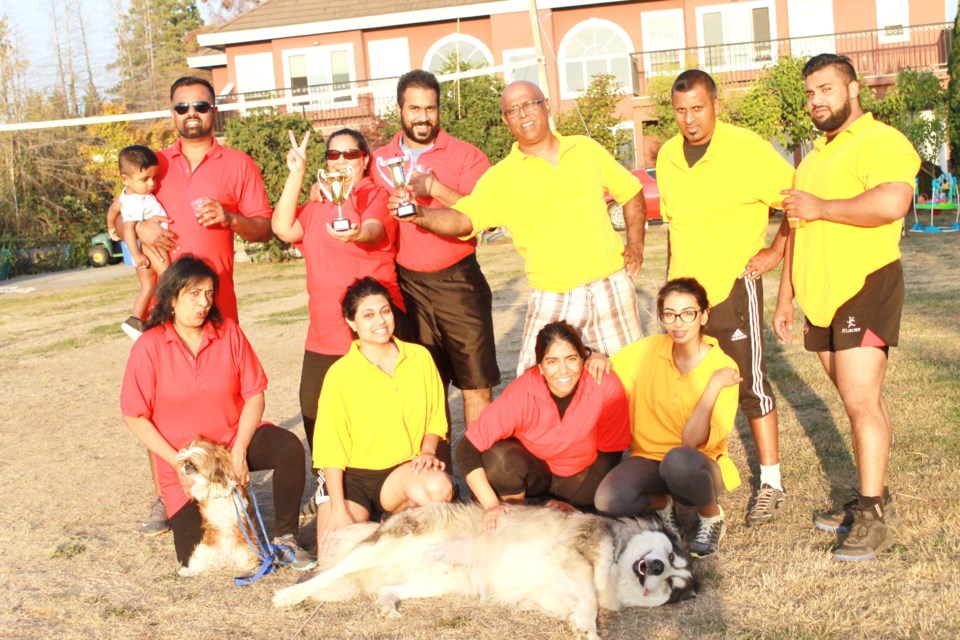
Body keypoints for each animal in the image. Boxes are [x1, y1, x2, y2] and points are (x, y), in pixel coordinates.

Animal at [172, 438, 255, 576]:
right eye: (185, 462)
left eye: (193, 463)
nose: (185, 466)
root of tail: (226, 554)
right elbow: (200, 487)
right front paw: (204, 488)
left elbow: (226, 484)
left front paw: (218, 486)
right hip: (203, 549)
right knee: (198, 565)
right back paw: (187, 571)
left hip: (246, 545)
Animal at [274, 502, 692, 636]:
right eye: (671, 558)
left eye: (673, 584)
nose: (656, 565)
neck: (618, 559)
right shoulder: (577, 551)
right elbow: (589, 594)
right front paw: (589, 629)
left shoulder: (549, 593)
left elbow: (578, 602)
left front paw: (580, 625)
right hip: (394, 542)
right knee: (336, 569)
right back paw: (289, 595)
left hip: (440, 581)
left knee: (385, 588)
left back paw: (387, 605)